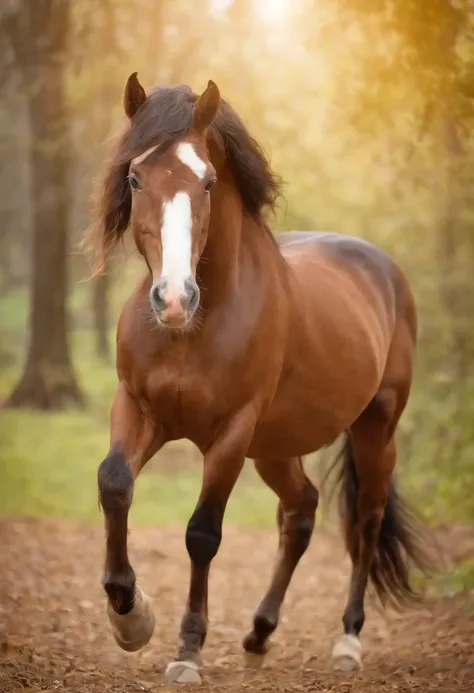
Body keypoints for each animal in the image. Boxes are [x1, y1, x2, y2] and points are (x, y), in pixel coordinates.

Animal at [86, 74, 434, 680]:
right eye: (134, 176)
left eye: (207, 181)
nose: (173, 299)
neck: (196, 327)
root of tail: (384, 268)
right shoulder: (137, 408)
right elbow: (115, 484)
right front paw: (130, 617)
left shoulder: (231, 432)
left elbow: (202, 534)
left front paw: (188, 650)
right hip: (275, 447)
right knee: (300, 512)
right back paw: (259, 632)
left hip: (375, 427)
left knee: (365, 522)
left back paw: (348, 641)